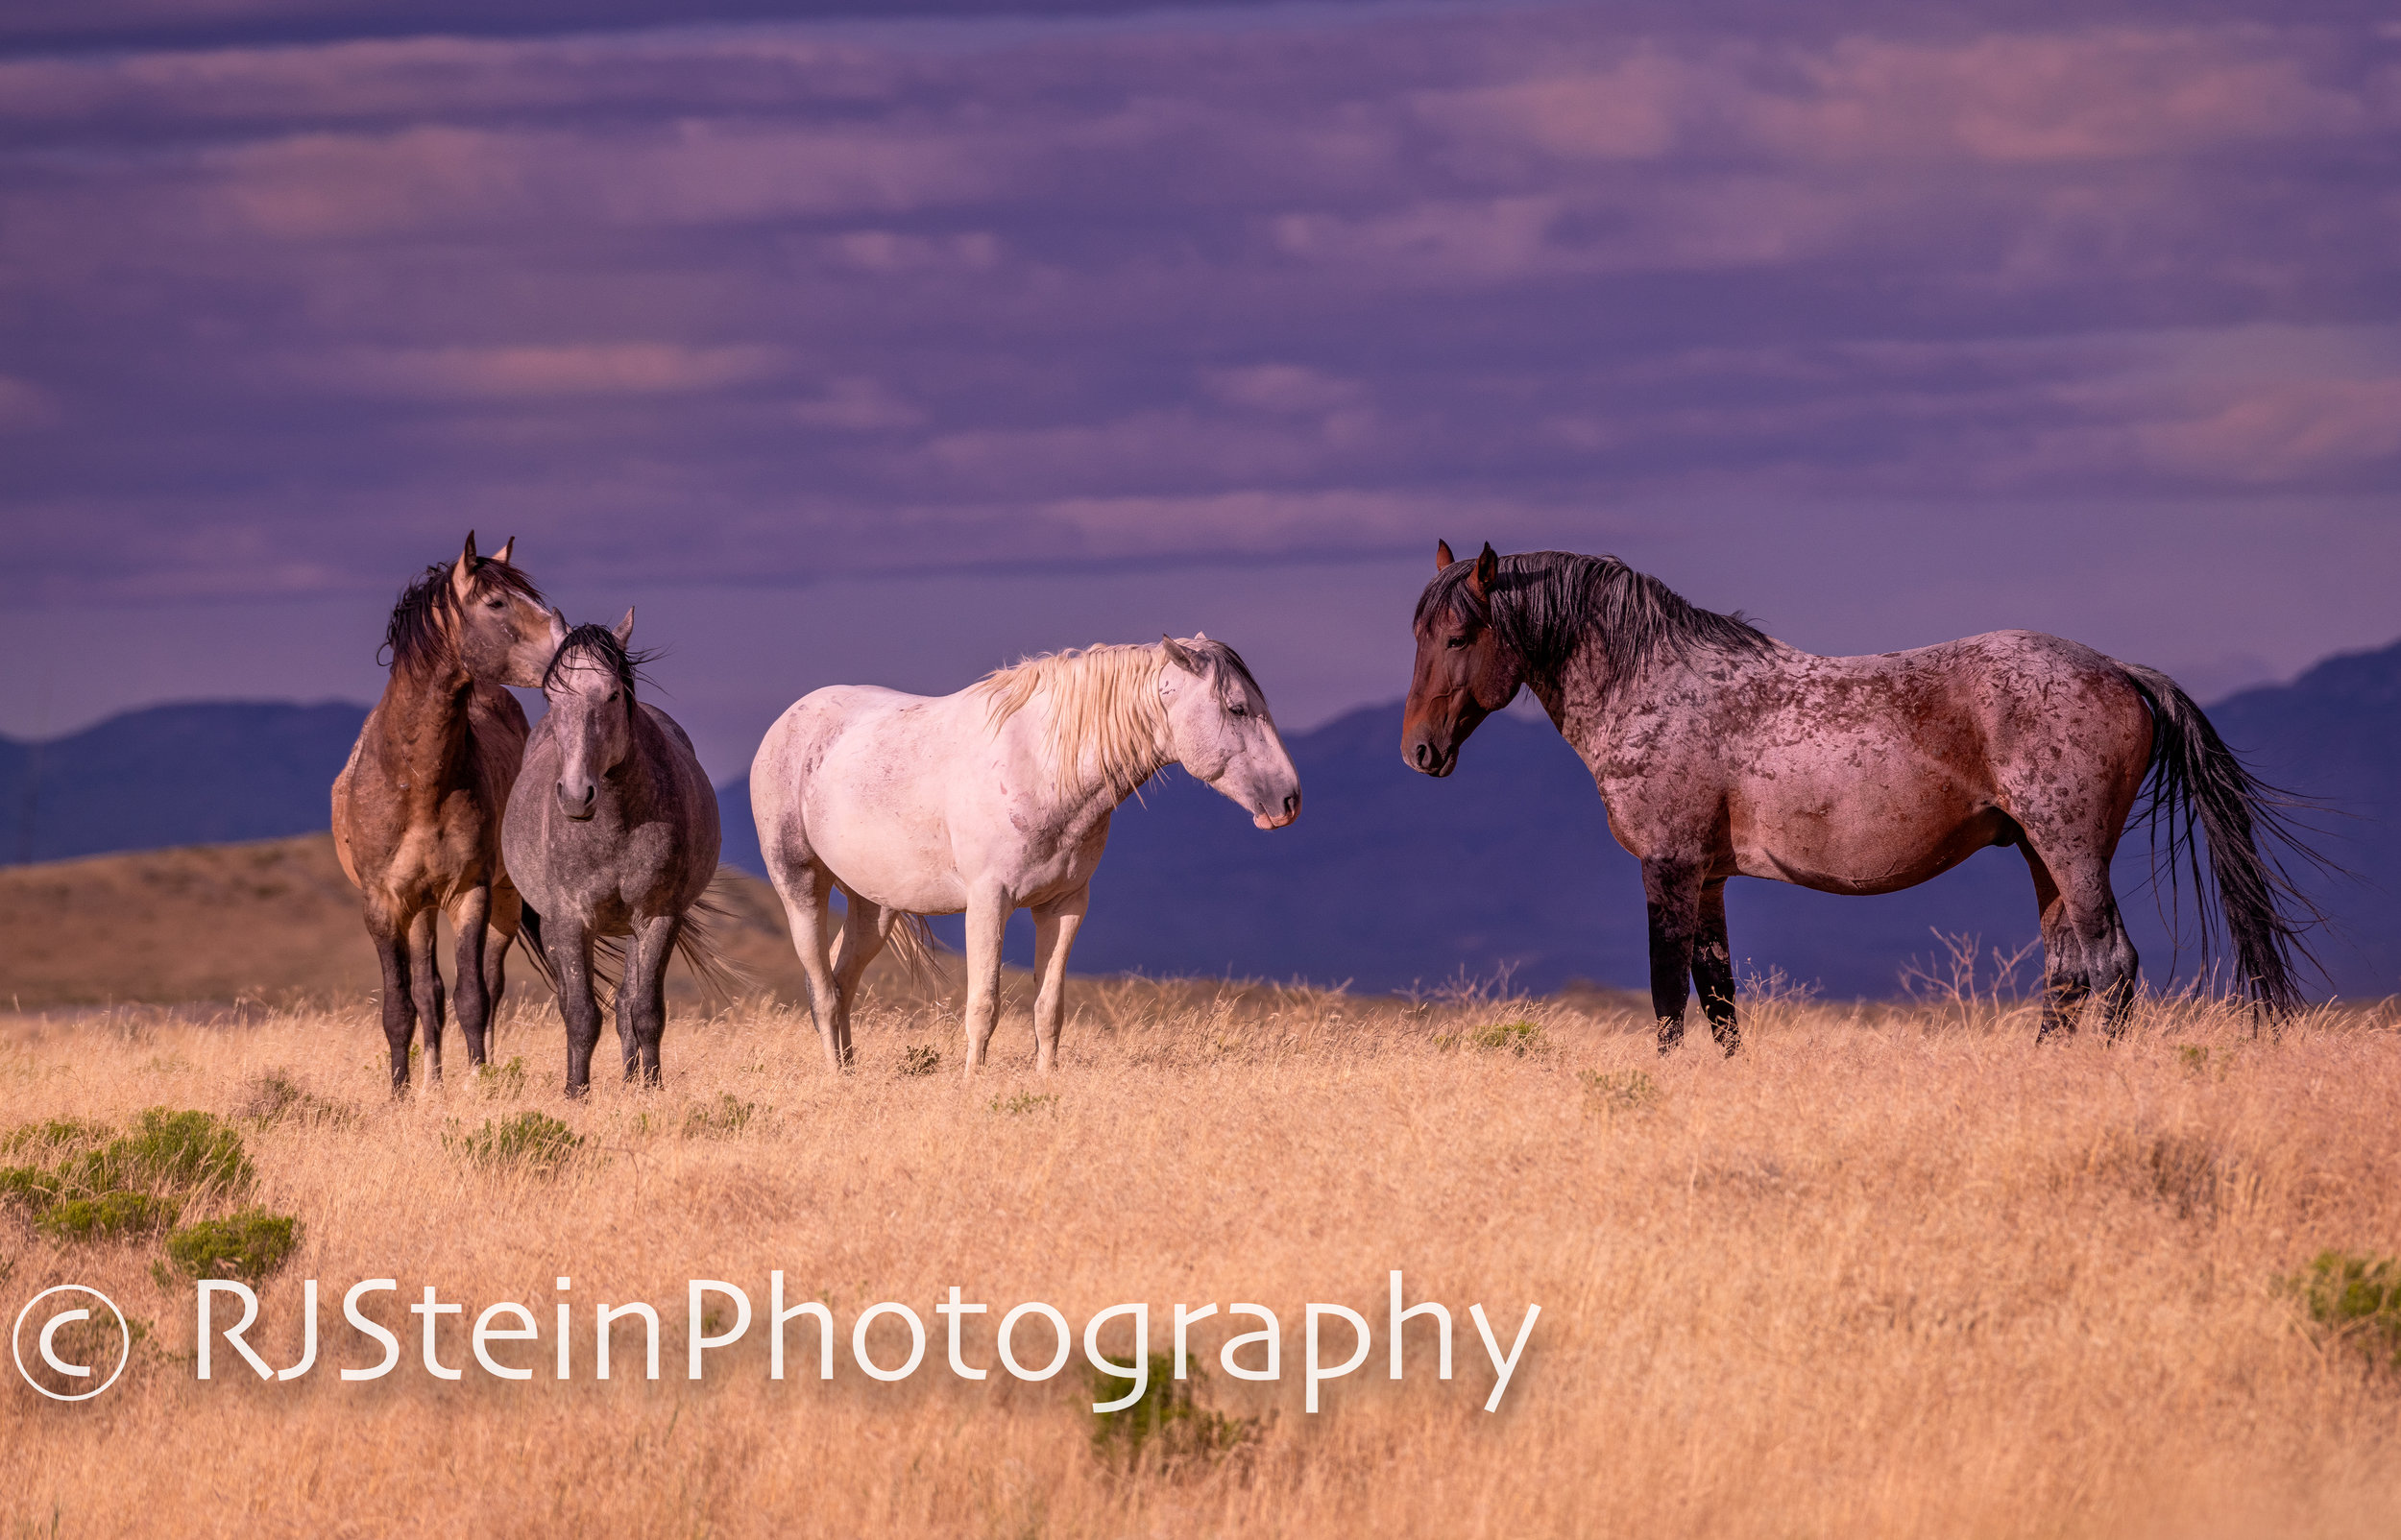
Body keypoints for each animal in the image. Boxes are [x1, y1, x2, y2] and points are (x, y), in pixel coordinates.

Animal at [333, 532, 557, 1084]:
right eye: (496, 603)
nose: (570, 649)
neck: (416, 783)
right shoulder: (384, 904)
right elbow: (401, 1005)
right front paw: (401, 1093)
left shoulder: (470, 892)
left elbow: (473, 997)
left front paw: (479, 1085)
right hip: (419, 910)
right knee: (427, 991)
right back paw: (432, 1083)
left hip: (503, 900)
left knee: (491, 985)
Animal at [499, 604, 725, 1098]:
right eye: (551, 697)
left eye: (613, 694)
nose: (575, 795)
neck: (613, 826)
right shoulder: (568, 922)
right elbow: (581, 1014)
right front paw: (575, 1093)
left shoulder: (657, 918)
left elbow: (645, 1011)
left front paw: (651, 1088)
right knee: (574, 1001)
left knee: (626, 1004)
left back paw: (630, 1077)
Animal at [759, 628, 1306, 1074]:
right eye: (1236, 708)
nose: (1288, 801)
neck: (1041, 766)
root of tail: (788, 721)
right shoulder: (988, 902)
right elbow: (984, 1004)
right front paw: (973, 1086)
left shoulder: (1064, 906)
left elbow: (1049, 1008)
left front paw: (1046, 1082)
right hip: (800, 885)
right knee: (822, 989)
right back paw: (836, 1078)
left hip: (874, 905)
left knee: (841, 980)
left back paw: (851, 1072)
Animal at [1402, 532, 2315, 1050]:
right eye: (1416, 632)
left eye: (1461, 635)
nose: (1419, 751)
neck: (1658, 685)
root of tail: (2118, 669)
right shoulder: (1708, 879)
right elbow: (1718, 998)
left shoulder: (1667, 869)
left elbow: (1667, 999)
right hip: (2042, 855)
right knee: (2069, 974)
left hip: (2073, 849)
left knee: (2112, 965)